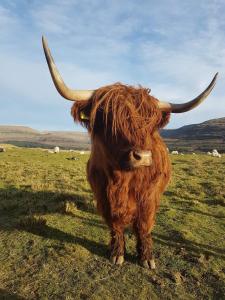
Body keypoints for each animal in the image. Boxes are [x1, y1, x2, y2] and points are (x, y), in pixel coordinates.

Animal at [42, 36, 218, 268]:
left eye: (151, 124)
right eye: (109, 119)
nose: (142, 157)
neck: (122, 178)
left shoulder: (148, 196)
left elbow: (143, 225)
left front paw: (147, 257)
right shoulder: (103, 194)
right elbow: (115, 223)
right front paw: (117, 253)